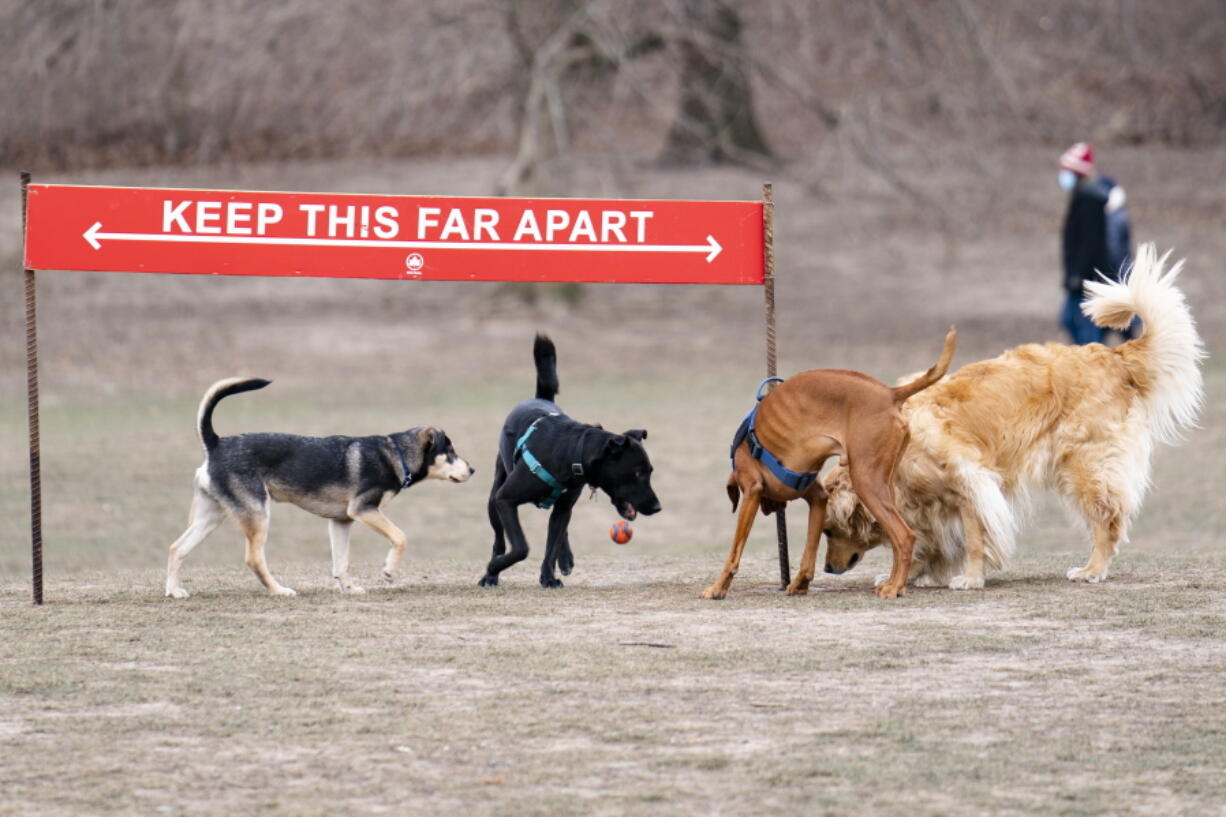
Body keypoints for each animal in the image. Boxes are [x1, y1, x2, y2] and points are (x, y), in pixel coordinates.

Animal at [170, 377, 475, 598]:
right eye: (450, 452)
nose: (472, 469)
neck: (396, 454)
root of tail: (216, 444)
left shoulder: (341, 521)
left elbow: (341, 563)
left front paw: (349, 588)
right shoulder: (365, 510)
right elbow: (400, 537)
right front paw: (388, 571)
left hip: (211, 517)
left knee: (176, 548)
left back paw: (174, 591)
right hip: (257, 514)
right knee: (254, 558)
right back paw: (279, 591)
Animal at [478, 333, 662, 588]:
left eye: (650, 471)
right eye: (636, 473)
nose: (657, 507)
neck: (572, 451)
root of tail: (539, 397)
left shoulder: (565, 505)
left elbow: (552, 545)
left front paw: (548, 577)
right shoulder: (505, 499)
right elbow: (521, 547)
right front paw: (494, 567)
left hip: (561, 507)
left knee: (559, 531)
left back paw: (564, 560)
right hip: (494, 497)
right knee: (499, 538)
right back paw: (492, 574)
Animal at [706, 323, 951, 598]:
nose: (771, 510)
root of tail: (889, 393)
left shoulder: (751, 490)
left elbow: (734, 552)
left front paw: (718, 588)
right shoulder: (818, 497)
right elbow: (809, 551)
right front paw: (799, 584)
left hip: (866, 482)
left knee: (905, 536)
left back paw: (894, 587)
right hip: (884, 485)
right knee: (901, 537)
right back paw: (892, 582)